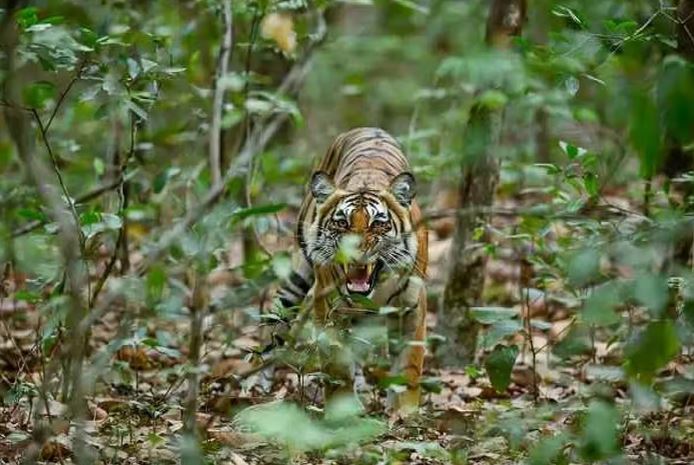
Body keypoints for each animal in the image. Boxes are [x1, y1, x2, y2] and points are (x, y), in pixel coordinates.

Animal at [274, 127, 426, 414]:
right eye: (341, 222)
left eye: (378, 223)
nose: (355, 251)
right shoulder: (330, 306)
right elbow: (336, 365)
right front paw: (343, 411)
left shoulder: (411, 307)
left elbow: (409, 365)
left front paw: (405, 411)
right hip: (297, 279)